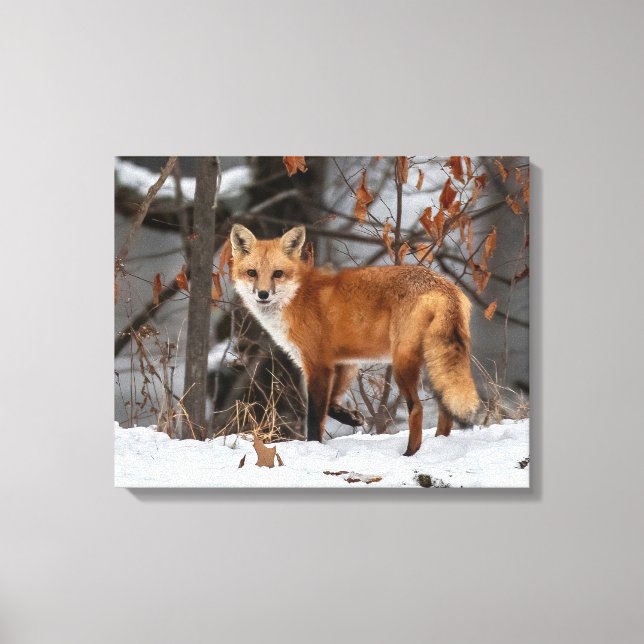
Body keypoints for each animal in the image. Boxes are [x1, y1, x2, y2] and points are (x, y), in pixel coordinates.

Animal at [229, 223, 480, 456]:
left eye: (277, 274)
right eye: (252, 273)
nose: (263, 294)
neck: (297, 296)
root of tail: (444, 286)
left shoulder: (317, 364)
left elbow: (315, 418)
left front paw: (314, 447)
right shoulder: (344, 363)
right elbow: (330, 405)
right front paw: (351, 418)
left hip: (402, 364)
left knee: (417, 408)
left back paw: (410, 453)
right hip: (434, 363)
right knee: (445, 410)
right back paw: (439, 443)